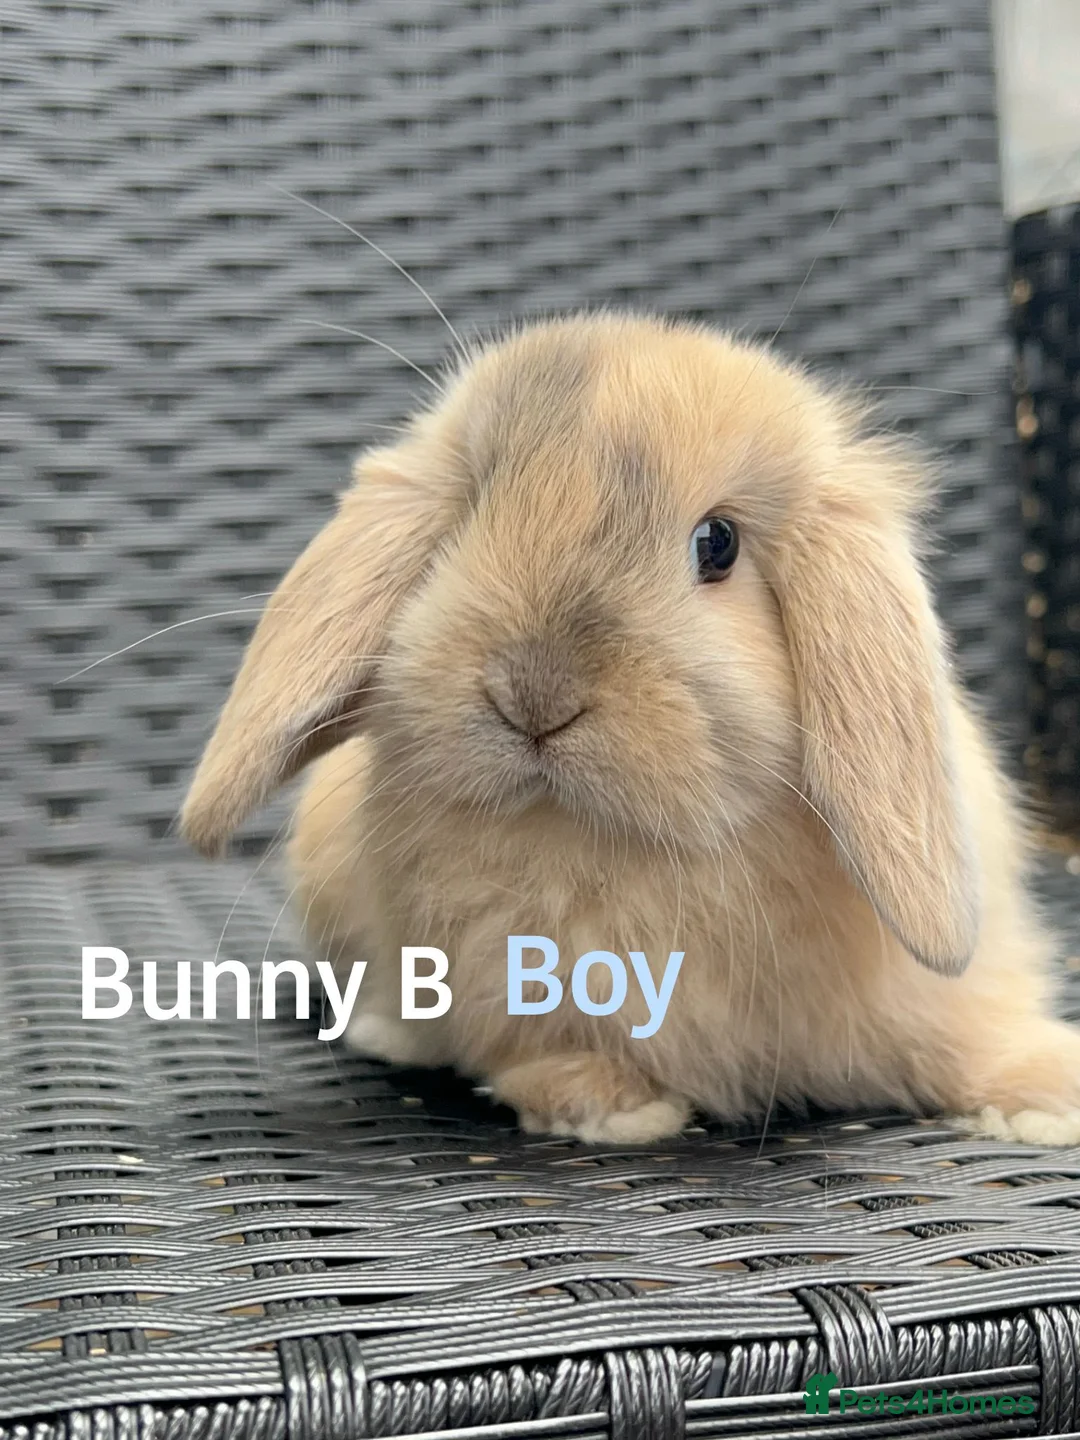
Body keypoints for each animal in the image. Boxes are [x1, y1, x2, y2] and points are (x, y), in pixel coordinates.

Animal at [181, 311, 1080, 1146]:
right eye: (470, 510)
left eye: (717, 543)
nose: (533, 694)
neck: (610, 845)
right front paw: (608, 1102)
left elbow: (967, 1040)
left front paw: (1052, 1091)